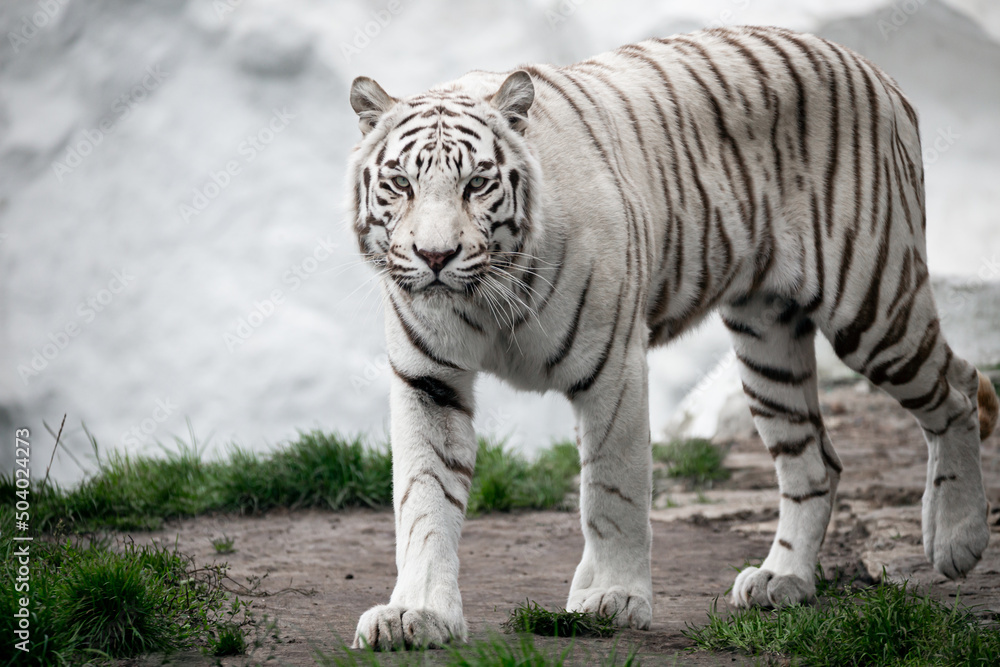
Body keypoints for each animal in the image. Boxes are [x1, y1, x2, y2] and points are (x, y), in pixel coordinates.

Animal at [345, 25, 999, 649]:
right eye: (400, 184)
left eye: (477, 184)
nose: (435, 256)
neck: (483, 299)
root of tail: (874, 69)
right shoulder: (428, 380)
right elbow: (424, 498)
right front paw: (417, 614)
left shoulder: (612, 365)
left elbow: (612, 490)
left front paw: (612, 597)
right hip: (767, 338)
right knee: (816, 461)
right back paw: (782, 579)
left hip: (872, 301)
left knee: (959, 388)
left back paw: (956, 538)